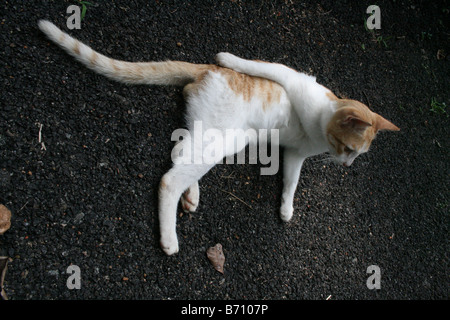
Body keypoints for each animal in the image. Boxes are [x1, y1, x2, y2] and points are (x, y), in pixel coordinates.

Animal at [37, 20, 398, 255]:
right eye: (348, 148)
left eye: (357, 154)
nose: (347, 165)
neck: (319, 126)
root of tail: (203, 71)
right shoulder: (292, 78)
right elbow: (261, 65)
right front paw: (229, 57)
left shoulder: (296, 154)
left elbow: (291, 182)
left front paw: (286, 208)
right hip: (223, 139)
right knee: (169, 178)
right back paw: (170, 238)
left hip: (223, 137)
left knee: (180, 152)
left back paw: (192, 195)